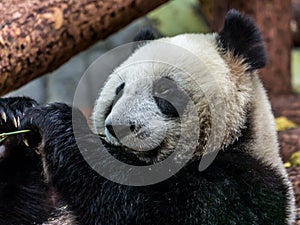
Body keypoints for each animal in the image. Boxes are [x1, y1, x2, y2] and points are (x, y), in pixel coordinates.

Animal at [0, 9, 296, 225]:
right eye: (119, 92)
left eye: (164, 91)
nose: (118, 127)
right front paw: (13, 115)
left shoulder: (248, 187)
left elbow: (156, 208)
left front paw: (58, 122)